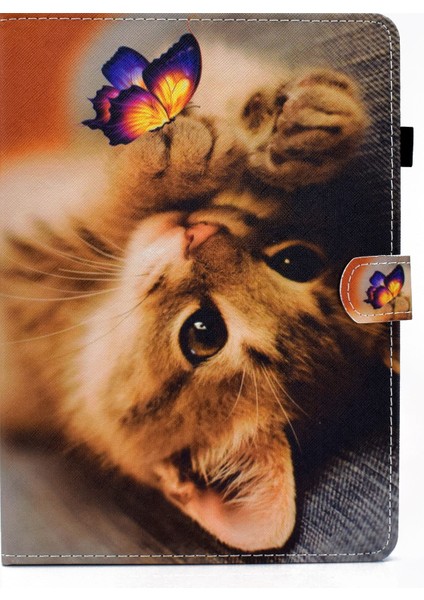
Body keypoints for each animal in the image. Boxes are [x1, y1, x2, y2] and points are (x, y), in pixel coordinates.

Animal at [0, 64, 388, 552]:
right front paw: (306, 124)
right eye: (294, 262)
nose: (201, 232)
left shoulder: (32, 278)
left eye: (203, 333)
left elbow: (108, 210)